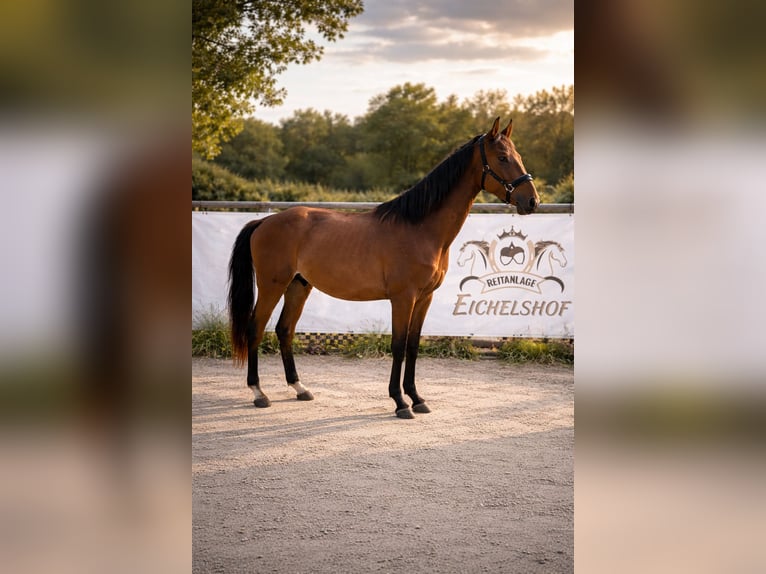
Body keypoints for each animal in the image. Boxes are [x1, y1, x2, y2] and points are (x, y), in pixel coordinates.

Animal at [227, 117, 539, 418]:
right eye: (502, 158)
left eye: (518, 156)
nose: (532, 201)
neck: (420, 228)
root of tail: (264, 222)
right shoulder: (403, 298)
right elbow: (398, 346)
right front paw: (400, 402)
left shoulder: (424, 298)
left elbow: (413, 346)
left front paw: (417, 399)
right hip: (272, 286)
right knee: (255, 328)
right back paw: (258, 393)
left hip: (298, 285)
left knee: (285, 330)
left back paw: (299, 388)